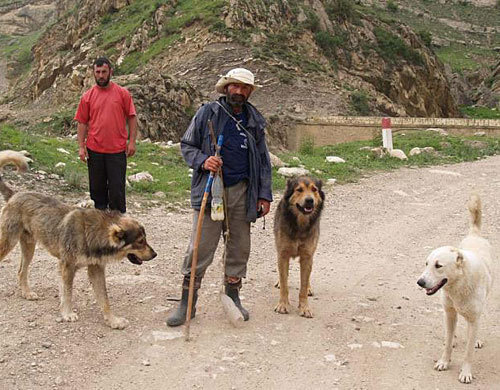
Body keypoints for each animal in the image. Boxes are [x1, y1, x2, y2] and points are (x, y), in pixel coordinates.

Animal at [0, 151, 156, 328]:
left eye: (145, 240)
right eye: (140, 242)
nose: (155, 254)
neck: (94, 233)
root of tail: (15, 194)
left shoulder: (96, 269)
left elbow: (104, 299)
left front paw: (112, 320)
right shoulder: (67, 267)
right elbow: (67, 292)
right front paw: (67, 313)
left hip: (28, 247)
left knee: (21, 271)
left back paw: (26, 293)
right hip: (8, 242)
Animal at [274, 177, 324, 316]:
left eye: (314, 189)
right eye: (299, 190)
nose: (309, 200)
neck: (300, 224)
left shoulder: (307, 256)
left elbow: (303, 286)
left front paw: (304, 307)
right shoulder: (283, 254)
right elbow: (284, 284)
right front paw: (283, 305)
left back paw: (309, 288)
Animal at [416, 195, 494, 384]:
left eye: (438, 266)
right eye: (426, 264)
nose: (420, 282)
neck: (458, 285)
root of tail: (475, 234)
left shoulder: (473, 319)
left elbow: (468, 353)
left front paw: (465, 372)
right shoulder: (449, 314)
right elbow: (447, 341)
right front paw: (444, 361)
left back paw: (475, 339)